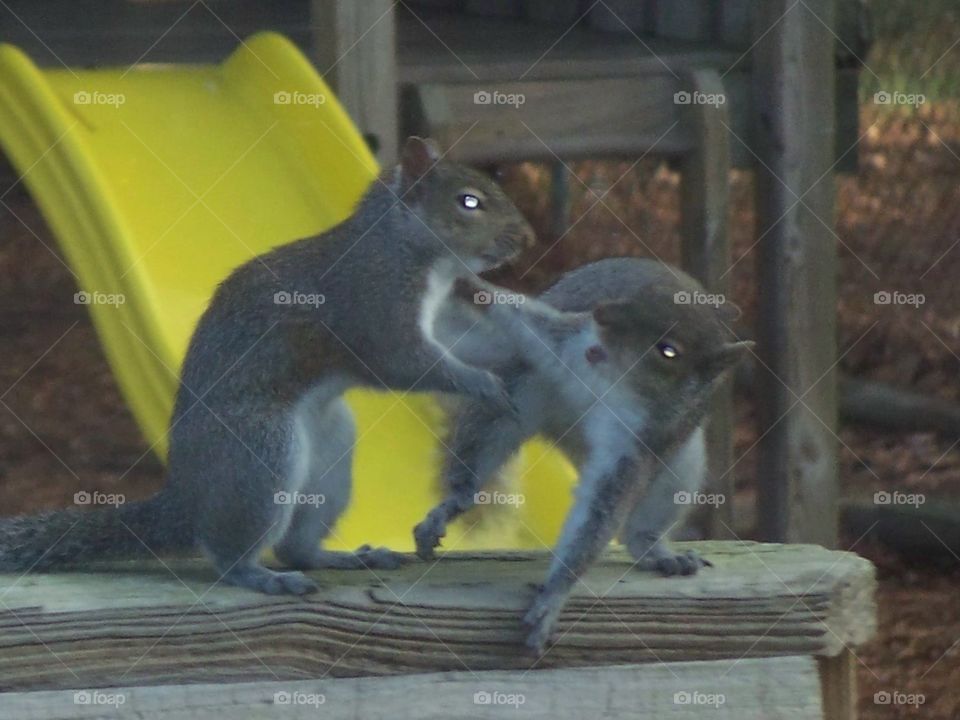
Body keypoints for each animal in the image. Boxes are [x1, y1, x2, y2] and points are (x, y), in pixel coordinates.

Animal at [0, 137, 535, 596]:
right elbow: (405, 363)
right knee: (228, 555)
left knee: (295, 546)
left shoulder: (438, 317)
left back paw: (343, 557)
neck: (406, 249)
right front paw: (483, 384)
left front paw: (524, 348)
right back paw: (261, 577)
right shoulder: (373, 305)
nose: (527, 237)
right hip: (261, 454)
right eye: (469, 202)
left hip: (329, 454)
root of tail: (187, 496)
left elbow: (467, 340)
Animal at [418, 258, 752, 653]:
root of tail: (572, 441)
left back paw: (656, 551)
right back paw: (455, 500)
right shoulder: (565, 341)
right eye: (635, 296)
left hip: (680, 465)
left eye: (669, 351)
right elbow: (522, 317)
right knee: (485, 443)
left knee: (640, 527)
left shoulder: (637, 443)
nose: (600, 314)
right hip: (521, 394)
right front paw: (469, 282)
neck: (614, 379)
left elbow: (599, 512)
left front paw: (553, 596)